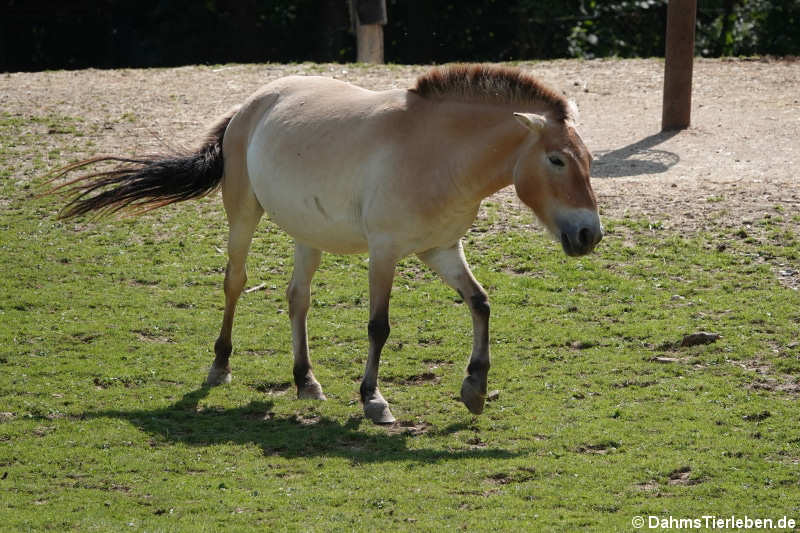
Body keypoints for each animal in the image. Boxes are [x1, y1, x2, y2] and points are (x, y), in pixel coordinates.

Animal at [48, 64, 600, 424]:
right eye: (556, 160)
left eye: (589, 160)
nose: (588, 234)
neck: (438, 153)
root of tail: (250, 104)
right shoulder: (385, 251)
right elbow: (379, 326)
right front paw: (374, 400)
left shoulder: (440, 249)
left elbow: (481, 304)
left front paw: (475, 389)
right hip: (243, 215)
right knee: (235, 283)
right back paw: (220, 366)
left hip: (306, 235)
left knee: (297, 299)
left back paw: (305, 380)